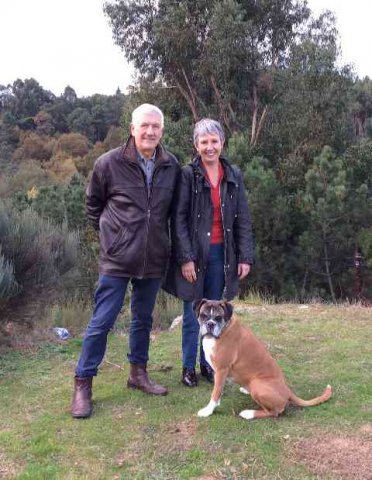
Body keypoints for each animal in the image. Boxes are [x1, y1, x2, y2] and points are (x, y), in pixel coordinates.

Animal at [196, 300, 332, 420]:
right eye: (203, 315)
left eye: (218, 317)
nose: (210, 324)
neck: (225, 328)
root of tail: (288, 391)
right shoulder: (219, 373)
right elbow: (218, 389)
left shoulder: (221, 369)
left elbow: (215, 391)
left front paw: (208, 411)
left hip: (257, 385)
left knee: (275, 412)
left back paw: (249, 414)